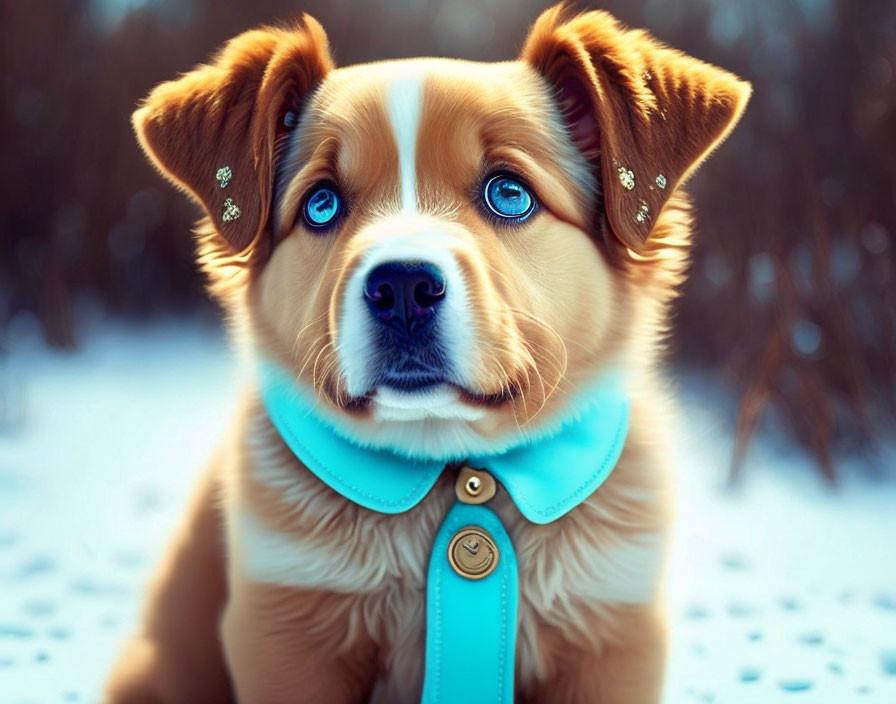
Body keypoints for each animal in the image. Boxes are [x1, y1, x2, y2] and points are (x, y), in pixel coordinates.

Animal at [105, 6, 748, 704]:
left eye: (510, 193)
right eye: (321, 204)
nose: (403, 289)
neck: (454, 469)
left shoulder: (610, 638)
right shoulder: (286, 632)